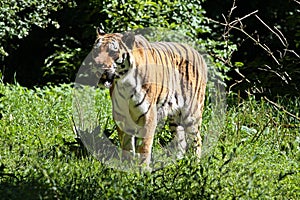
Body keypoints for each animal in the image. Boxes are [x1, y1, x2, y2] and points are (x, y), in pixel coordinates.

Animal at [91, 27, 207, 166]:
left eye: (112, 51)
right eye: (96, 50)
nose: (97, 64)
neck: (125, 83)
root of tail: (197, 53)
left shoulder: (149, 115)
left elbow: (145, 146)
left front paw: (143, 169)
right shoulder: (121, 115)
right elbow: (127, 145)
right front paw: (126, 165)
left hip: (191, 112)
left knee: (197, 139)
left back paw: (195, 164)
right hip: (175, 117)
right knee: (181, 140)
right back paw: (176, 163)